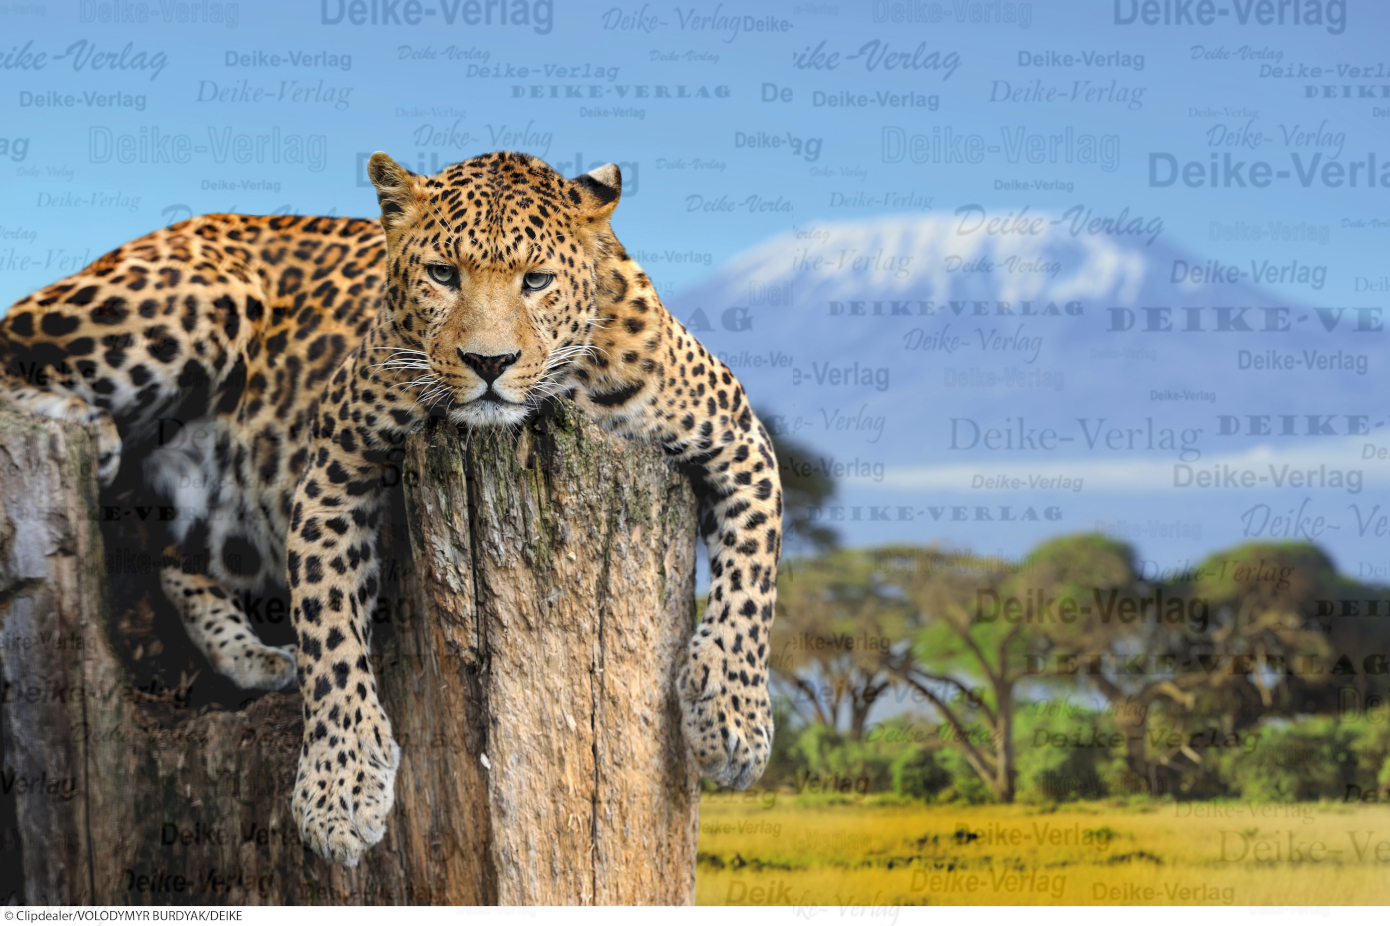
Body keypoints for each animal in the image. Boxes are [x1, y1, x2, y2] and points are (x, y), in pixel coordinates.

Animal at [0, 150, 781, 867]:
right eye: (442, 274)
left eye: (535, 280)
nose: (489, 363)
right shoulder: (334, 465)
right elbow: (330, 632)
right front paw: (340, 790)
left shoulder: (740, 437)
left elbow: (753, 581)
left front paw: (733, 721)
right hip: (195, 299)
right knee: (15, 345)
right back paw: (92, 430)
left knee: (174, 560)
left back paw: (256, 657)